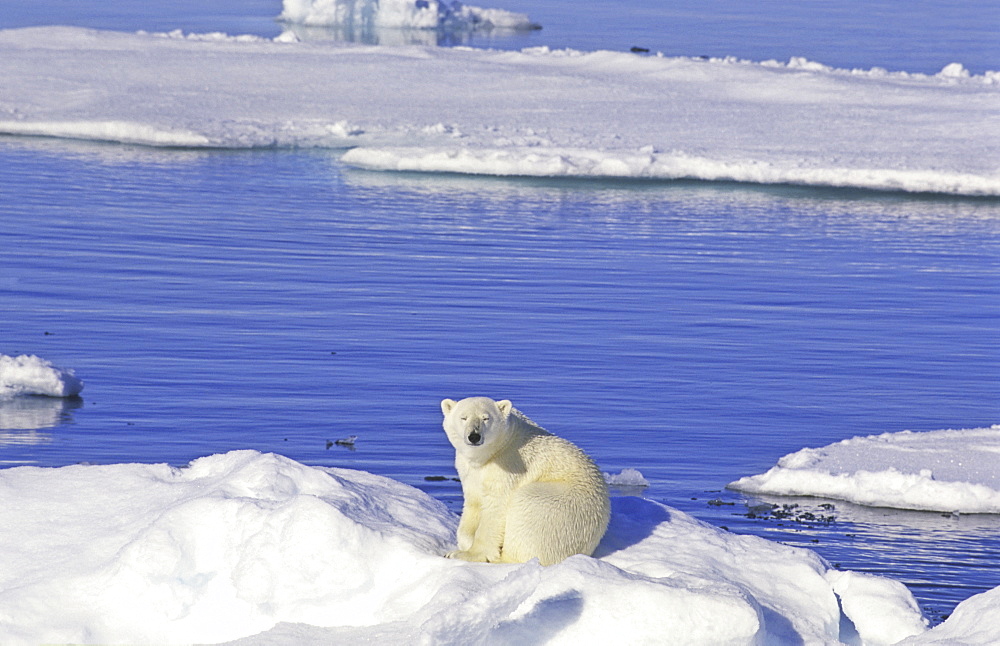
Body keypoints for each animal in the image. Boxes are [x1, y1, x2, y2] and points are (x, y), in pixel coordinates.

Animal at [440, 394, 608, 568]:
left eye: (486, 418)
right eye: (463, 417)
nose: (474, 436)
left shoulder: (509, 465)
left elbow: (495, 507)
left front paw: (463, 554)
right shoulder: (469, 472)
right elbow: (474, 503)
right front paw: (464, 543)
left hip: (563, 508)